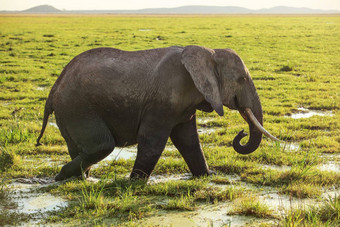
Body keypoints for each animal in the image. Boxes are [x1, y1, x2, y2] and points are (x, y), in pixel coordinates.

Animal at [35, 45, 278, 182]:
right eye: (242, 79)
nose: (242, 134)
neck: (209, 52)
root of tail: (53, 90)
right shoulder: (163, 100)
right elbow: (153, 140)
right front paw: (134, 182)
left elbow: (188, 140)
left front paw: (207, 176)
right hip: (78, 108)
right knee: (102, 146)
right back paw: (61, 177)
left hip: (70, 112)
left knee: (82, 148)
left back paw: (81, 179)